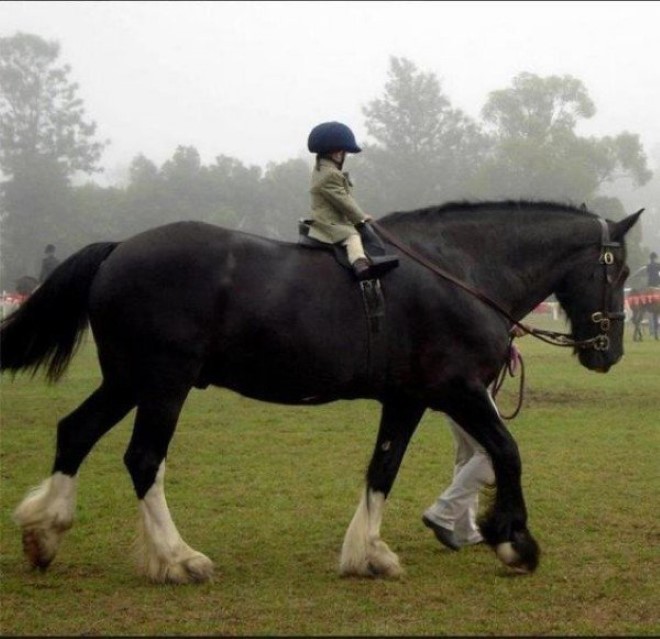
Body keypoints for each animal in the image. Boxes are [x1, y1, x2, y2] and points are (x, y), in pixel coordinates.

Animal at [0, 201, 640, 584]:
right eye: (624, 272)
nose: (607, 352)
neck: (459, 272)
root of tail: (119, 248)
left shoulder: (408, 399)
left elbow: (383, 470)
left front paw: (368, 553)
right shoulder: (457, 391)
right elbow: (507, 452)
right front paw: (515, 541)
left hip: (128, 381)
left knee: (75, 432)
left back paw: (44, 535)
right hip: (162, 384)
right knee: (142, 460)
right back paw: (178, 559)